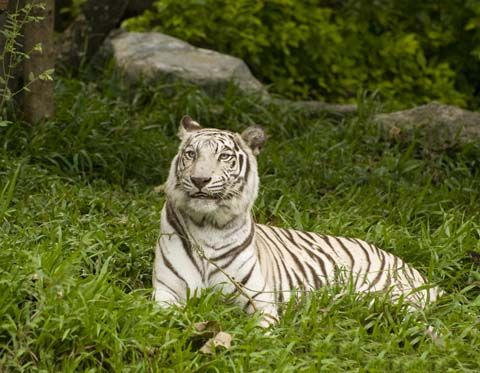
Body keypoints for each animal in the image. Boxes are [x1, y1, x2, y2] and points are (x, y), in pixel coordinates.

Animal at [154, 115, 442, 324]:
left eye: (224, 156)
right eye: (191, 154)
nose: (199, 180)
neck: (208, 225)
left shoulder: (258, 300)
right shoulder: (166, 292)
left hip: (391, 297)